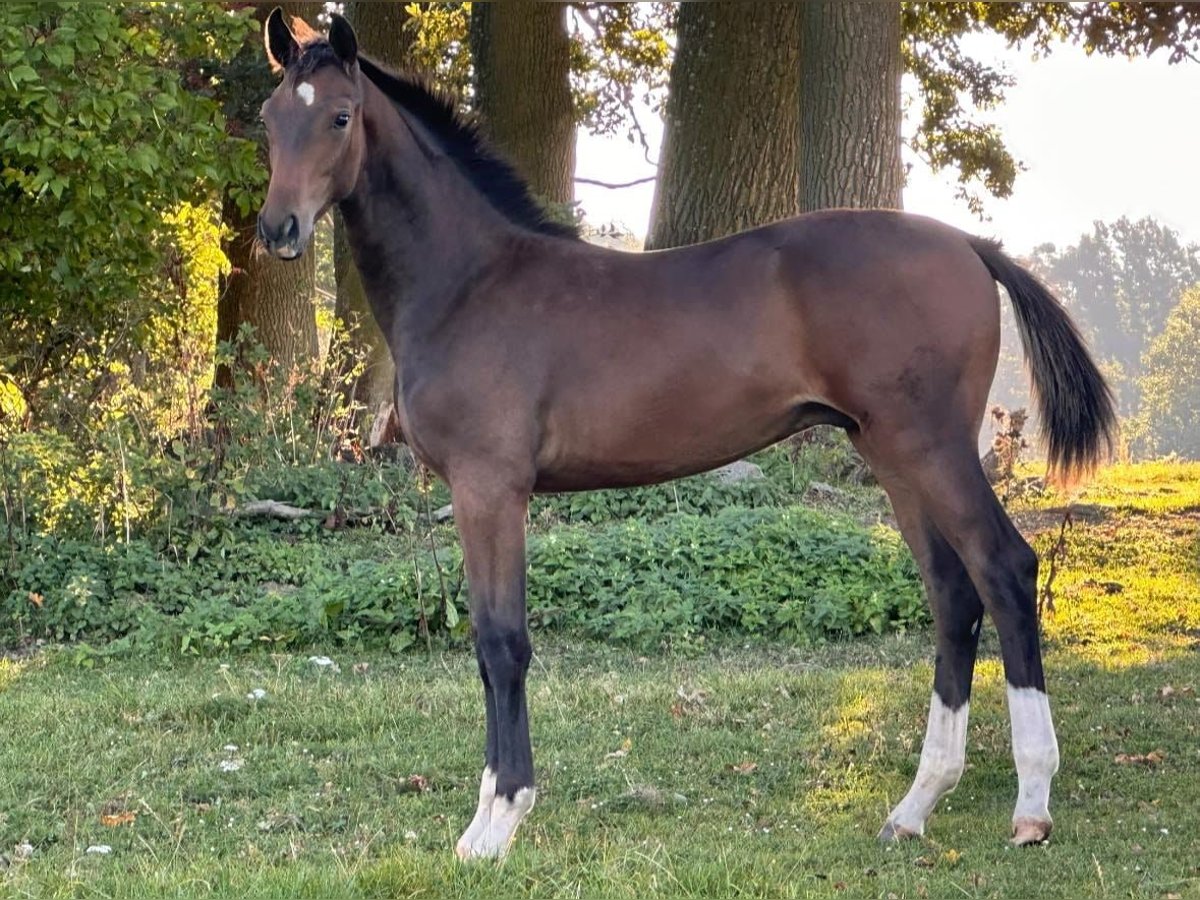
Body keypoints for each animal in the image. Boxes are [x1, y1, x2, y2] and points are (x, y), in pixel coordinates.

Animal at [258, 12, 1118, 859]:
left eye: (340, 116)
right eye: (268, 119)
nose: (278, 230)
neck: (470, 283)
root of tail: (970, 245)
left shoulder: (489, 488)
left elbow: (501, 644)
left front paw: (497, 821)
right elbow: (488, 642)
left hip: (929, 447)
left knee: (1004, 569)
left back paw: (1031, 804)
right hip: (891, 453)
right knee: (951, 594)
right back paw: (915, 805)